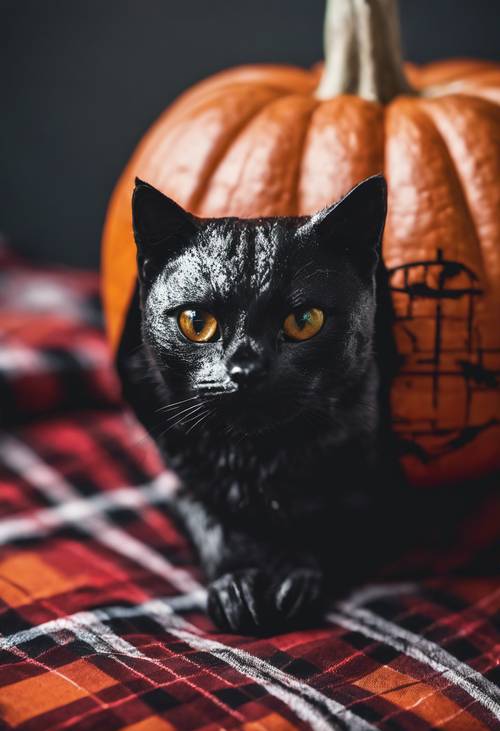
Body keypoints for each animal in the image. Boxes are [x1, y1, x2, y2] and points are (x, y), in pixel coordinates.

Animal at [118, 176, 402, 636]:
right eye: (196, 323)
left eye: (304, 321)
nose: (245, 369)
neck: (257, 458)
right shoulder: (171, 468)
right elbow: (210, 518)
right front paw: (238, 585)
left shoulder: (370, 492)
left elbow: (323, 522)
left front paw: (289, 574)